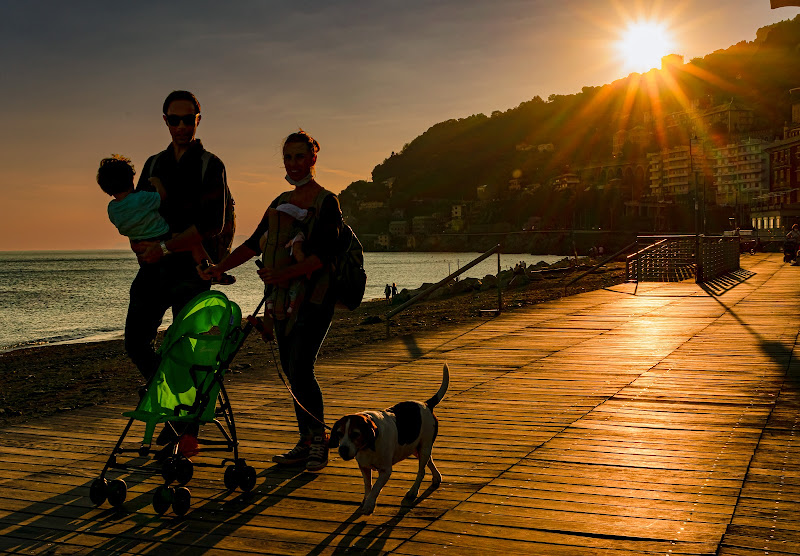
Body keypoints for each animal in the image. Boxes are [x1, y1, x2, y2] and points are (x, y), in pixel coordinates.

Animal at [326, 362, 450, 516]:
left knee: (421, 471)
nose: (342, 450)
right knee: (429, 461)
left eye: (355, 434)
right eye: (339, 434)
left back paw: (413, 491)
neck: (368, 446)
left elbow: (375, 488)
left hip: (424, 447)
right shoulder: (364, 467)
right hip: (416, 448)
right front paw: (367, 500)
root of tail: (426, 404)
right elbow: (368, 485)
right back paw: (436, 477)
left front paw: (369, 505)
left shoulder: (385, 471)